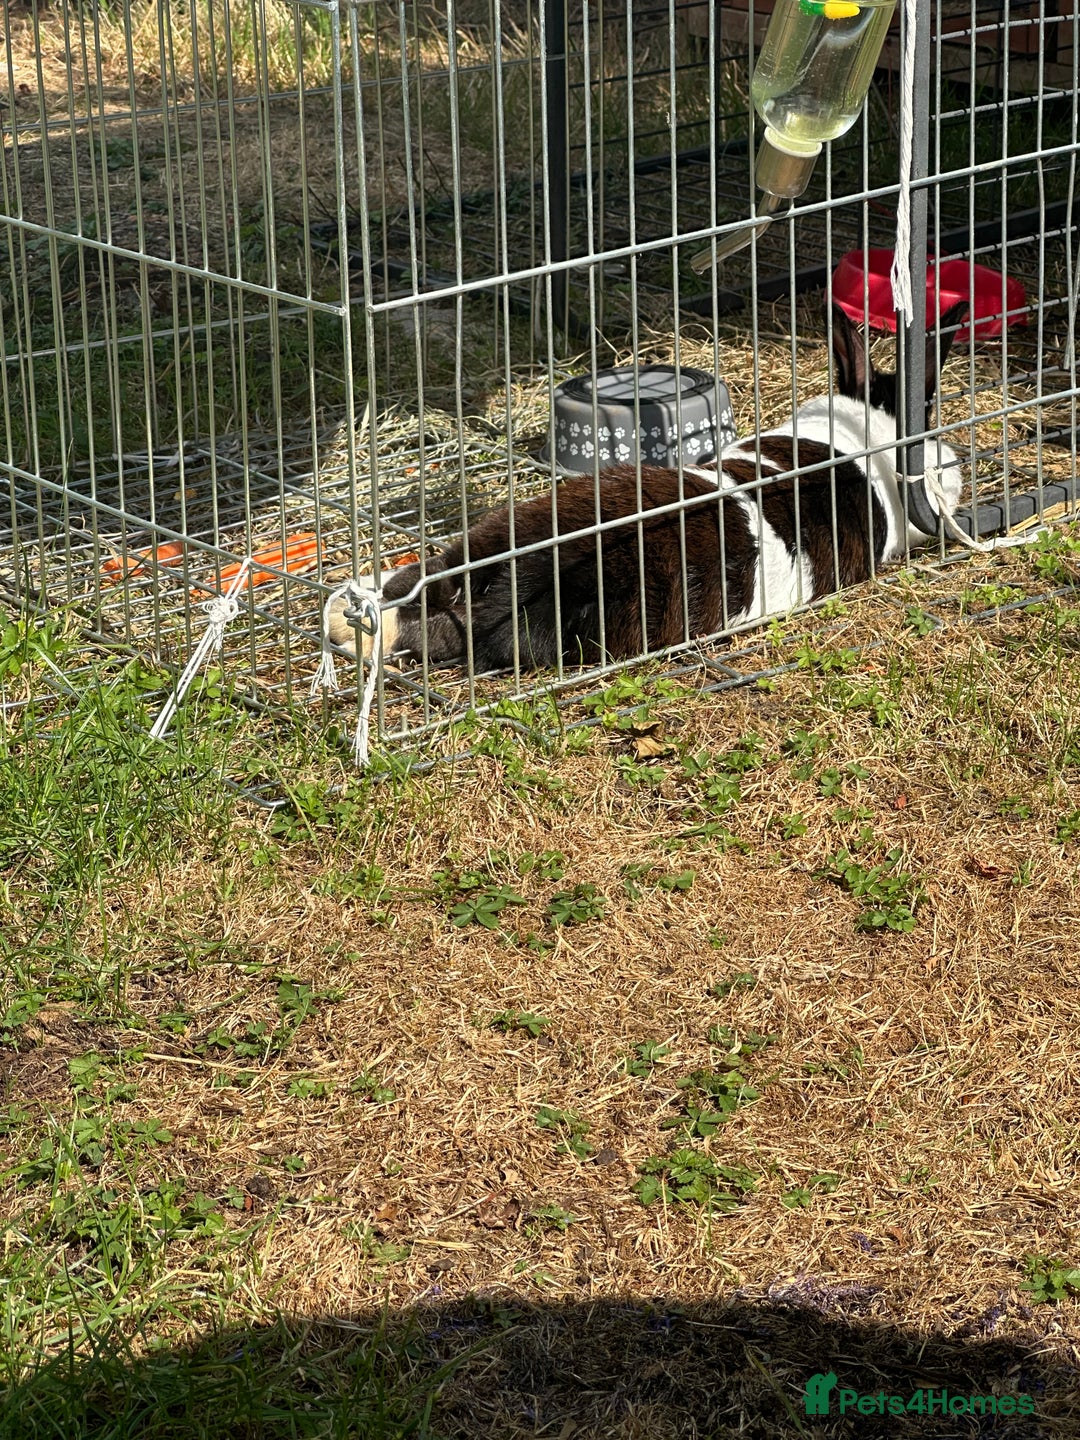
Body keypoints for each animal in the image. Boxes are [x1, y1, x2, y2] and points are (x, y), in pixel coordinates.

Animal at [327, 302, 966, 673]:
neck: (863, 436)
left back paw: (346, 619)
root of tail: (523, 572)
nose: (956, 467)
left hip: (491, 539)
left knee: (411, 590)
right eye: (932, 419)